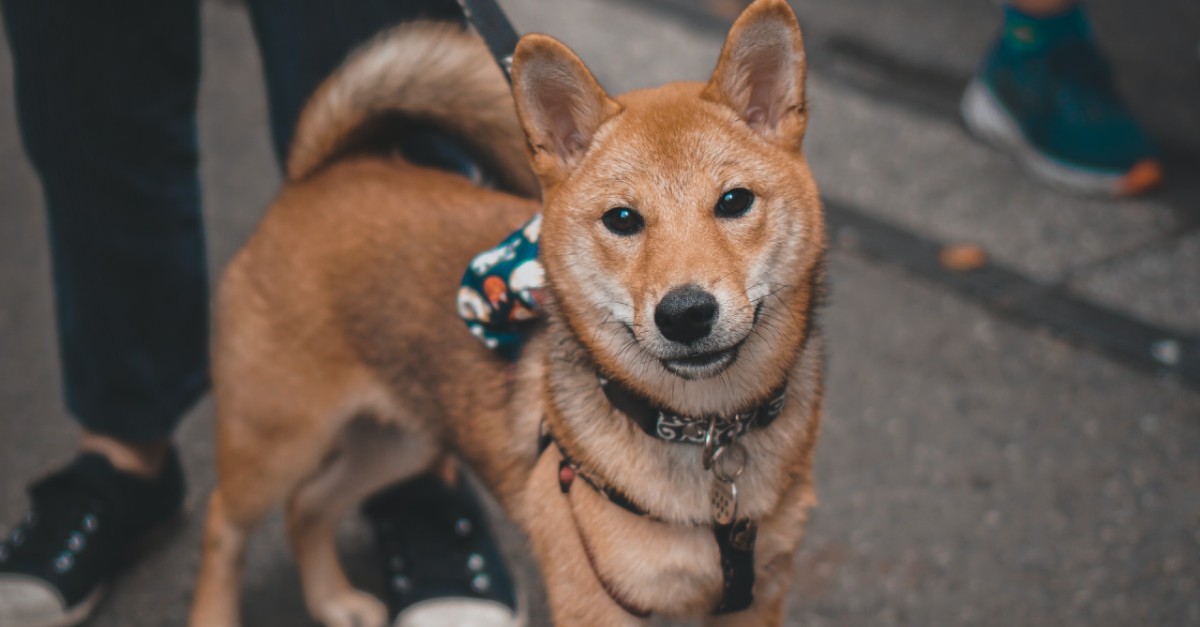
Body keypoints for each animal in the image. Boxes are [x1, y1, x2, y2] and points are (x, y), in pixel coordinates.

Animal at [187, 2, 825, 619]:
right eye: (622, 219)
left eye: (734, 201)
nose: (686, 313)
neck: (706, 433)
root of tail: (321, 173)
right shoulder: (597, 603)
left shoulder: (757, 597)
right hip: (274, 442)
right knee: (222, 523)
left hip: (400, 440)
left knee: (308, 505)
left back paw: (332, 600)